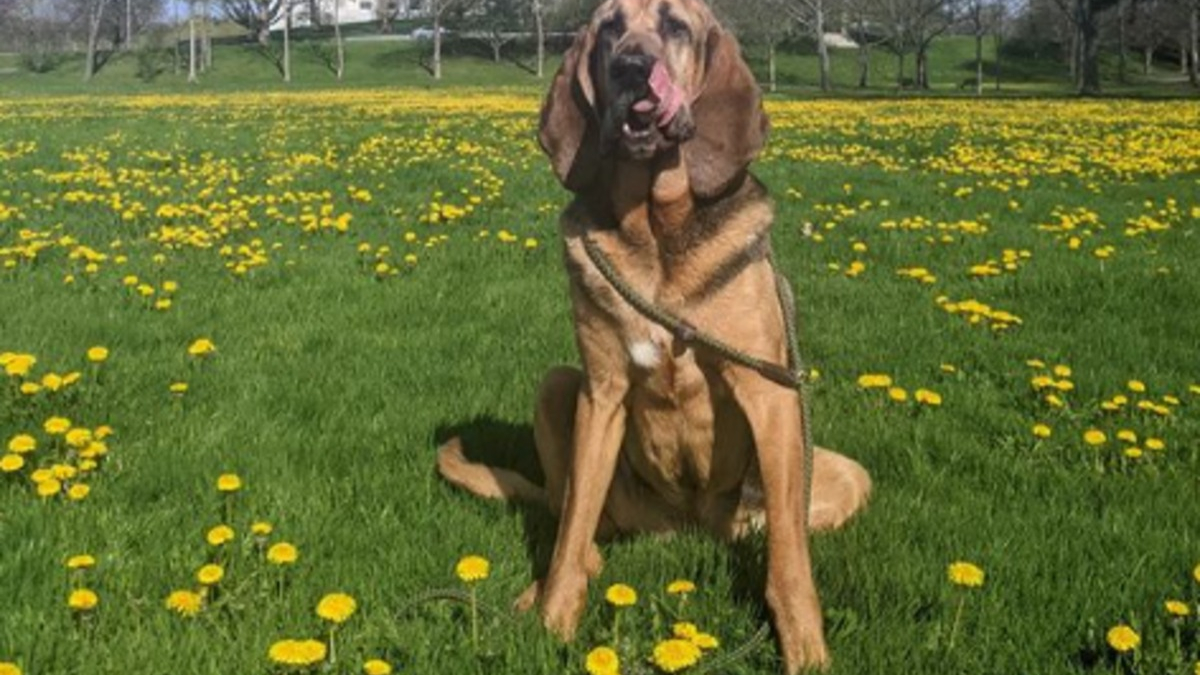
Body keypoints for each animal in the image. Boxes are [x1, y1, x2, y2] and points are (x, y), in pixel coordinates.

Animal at [436, 0, 868, 667]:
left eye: (675, 26)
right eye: (609, 29)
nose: (632, 68)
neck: (658, 232)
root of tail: (687, 525)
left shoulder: (772, 395)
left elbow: (790, 564)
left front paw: (806, 651)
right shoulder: (603, 390)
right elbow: (569, 540)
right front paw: (554, 623)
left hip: (835, 472)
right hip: (559, 389)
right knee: (577, 526)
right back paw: (539, 590)